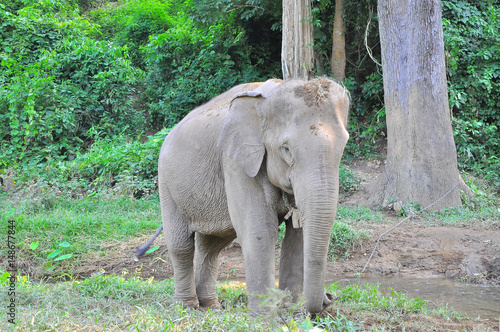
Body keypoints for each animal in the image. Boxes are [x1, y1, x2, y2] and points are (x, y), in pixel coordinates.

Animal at [135, 78, 350, 314]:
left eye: (343, 146)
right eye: (286, 149)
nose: (328, 298)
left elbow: (297, 233)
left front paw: (291, 311)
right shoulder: (236, 162)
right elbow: (260, 229)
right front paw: (265, 316)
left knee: (212, 246)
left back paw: (211, 307)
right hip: (167, 184)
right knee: (181, 245)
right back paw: (188, 307)